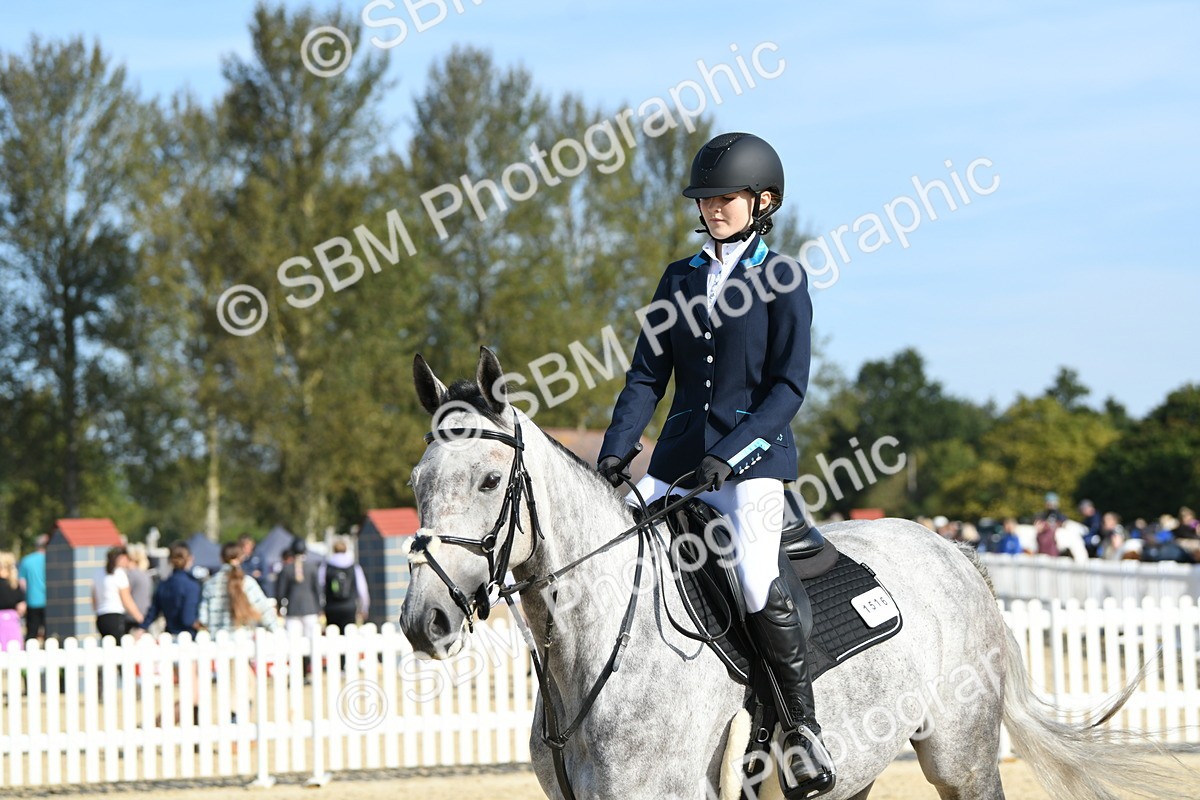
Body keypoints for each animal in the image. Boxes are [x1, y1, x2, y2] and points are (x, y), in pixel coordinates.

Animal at [400, 347, 1187, 800]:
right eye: (417, 481)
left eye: (488, 480)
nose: (423, 621)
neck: (595, 650)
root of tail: (952, 552)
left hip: (961, 757)